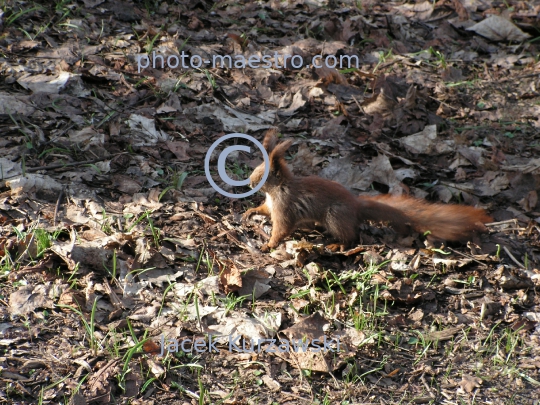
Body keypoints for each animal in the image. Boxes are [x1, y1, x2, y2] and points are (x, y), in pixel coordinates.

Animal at [243, 129, 492, 251]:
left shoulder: (285, 207)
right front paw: (250, 212)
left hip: (335, 217)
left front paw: (268, 244)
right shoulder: (271, 204)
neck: (278, 189)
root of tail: (355, 205)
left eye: (263, 175)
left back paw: (338, 244)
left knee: (351, 236)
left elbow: (282, 229)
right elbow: (264, 209)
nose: (249, 183)